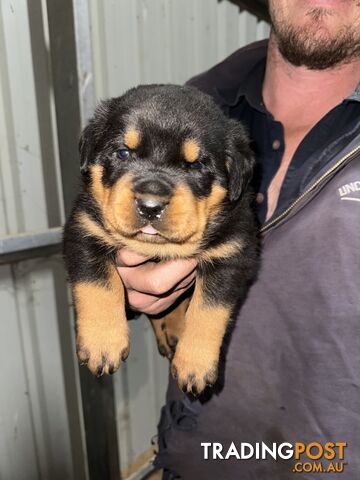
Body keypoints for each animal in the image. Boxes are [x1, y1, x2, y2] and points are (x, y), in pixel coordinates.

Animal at [62, 84, 258, 396]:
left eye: (196, 165)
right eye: (123, 153)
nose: (150, 205)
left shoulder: (232, 253)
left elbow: (209, 309)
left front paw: (195, 365)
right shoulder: (84, 230)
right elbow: (99, 283)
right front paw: (102, 343)